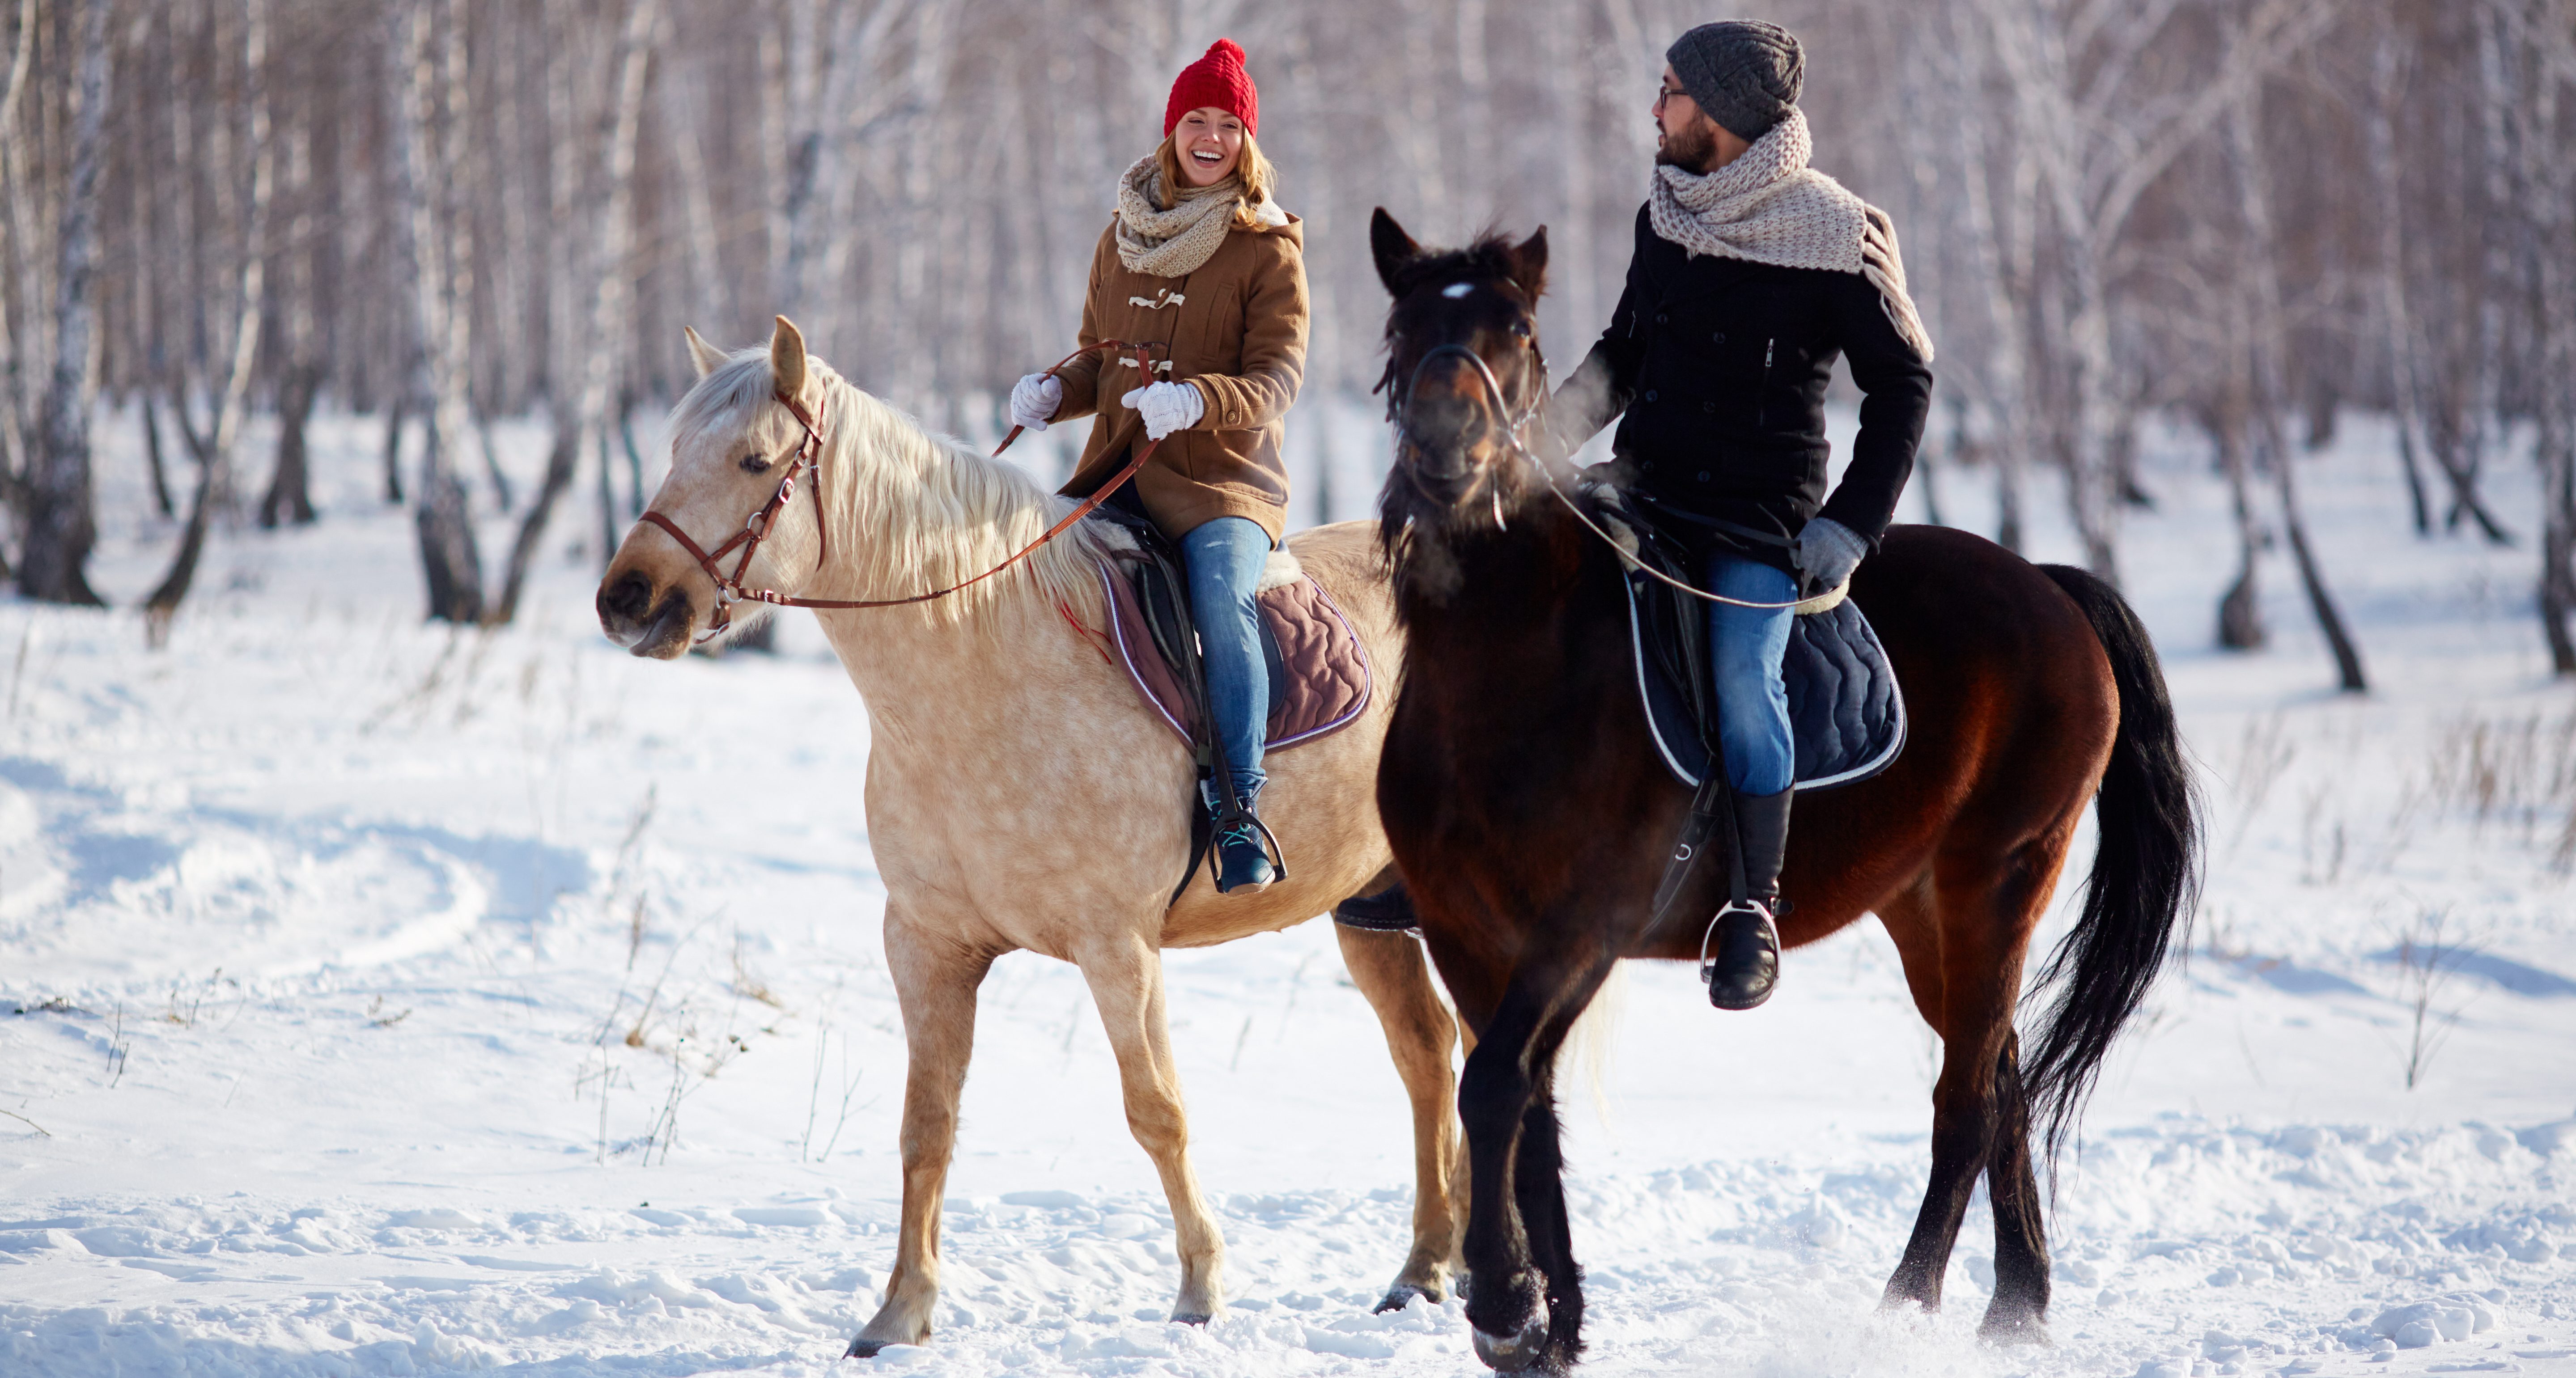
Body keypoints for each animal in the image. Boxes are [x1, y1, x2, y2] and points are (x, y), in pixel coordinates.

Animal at [590, 320, 1473, 1360]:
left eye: (755, 461)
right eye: (673, 451)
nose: (627, 598)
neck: (989, 673)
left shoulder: (1116, 947)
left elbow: (1155, 1111)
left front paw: (1198, 1293)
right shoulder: (926, 945)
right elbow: (926, 1125)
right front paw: (898, 1314)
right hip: (1367, 910)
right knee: (1430, 1056)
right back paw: (1428, 1269)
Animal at [1370, 210, 2194, 1370]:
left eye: (1515, 331)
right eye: (1402, 329)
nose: (1446, 449)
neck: (1510, 663)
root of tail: (2048, 585)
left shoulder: (1582, 924)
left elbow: (1494, 1087)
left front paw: (1503, 1305)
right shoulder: (1464, 932)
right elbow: (1521, 1105)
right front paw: (1549, 1321)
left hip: (1997, 879)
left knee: (1965, 1099)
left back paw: (1904, 1307)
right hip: (1923, 908)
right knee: (1998, 1074)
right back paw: (2015, 1308)